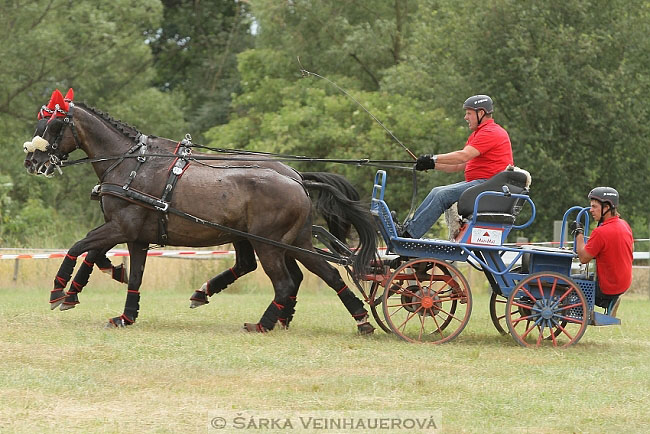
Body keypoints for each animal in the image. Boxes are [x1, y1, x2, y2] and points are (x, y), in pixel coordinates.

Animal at [22, 88, 374, 332]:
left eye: (53, 124)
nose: (32, 162)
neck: (131, 165)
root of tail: (297, 180)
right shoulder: (135, 235)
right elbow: (128, 270)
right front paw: (124, 313)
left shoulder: (122, 226)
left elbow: (79, 245)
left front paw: (60, 291)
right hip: (294, 241)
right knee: (324, 273)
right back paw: (359, 319)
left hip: (269, 243)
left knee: (285, 282)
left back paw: (262, 323)